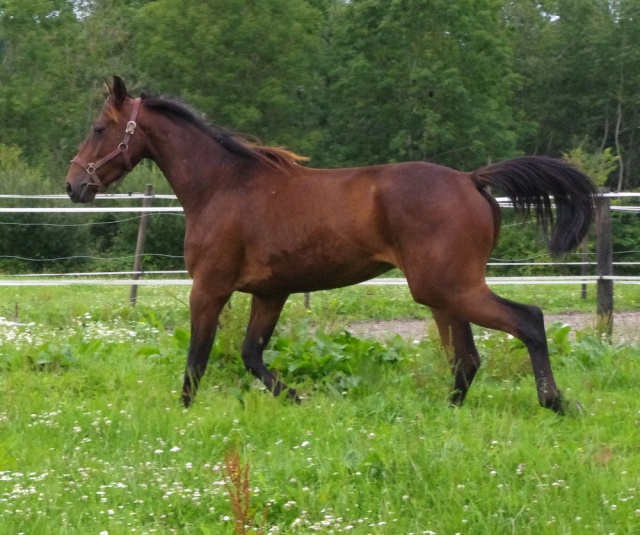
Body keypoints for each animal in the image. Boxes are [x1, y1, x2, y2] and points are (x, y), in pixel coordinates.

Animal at [67, 77, 596, 414]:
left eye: (98, 129)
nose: (74, 185)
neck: (223, 185)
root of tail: (472, 179)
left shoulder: (210, 289)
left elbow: (198, 359)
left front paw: (183, 415)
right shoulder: (270, 292)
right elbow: (251, 355)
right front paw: (298, 398)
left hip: (450, 288)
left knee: (528, 320)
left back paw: (554, 402)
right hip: (443, 294)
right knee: (466, 358)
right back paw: (449, 413)